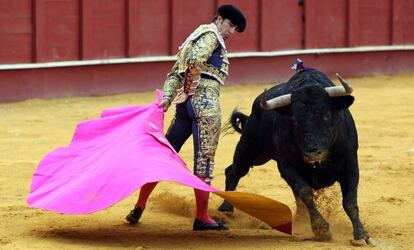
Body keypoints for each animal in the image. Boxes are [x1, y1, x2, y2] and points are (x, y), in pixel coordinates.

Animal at [218, 69, 374, 245]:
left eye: (327, 115)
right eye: (294, 119)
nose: (312, 152)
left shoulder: (351, 164)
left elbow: (350, 202)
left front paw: (362, 236)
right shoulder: (286, 165)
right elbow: (305, 192)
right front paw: (321, 229)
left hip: (259, 156)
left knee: (232, 170)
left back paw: (300, 217)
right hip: (248, 149)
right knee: (233, 172)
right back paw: (226, 209)